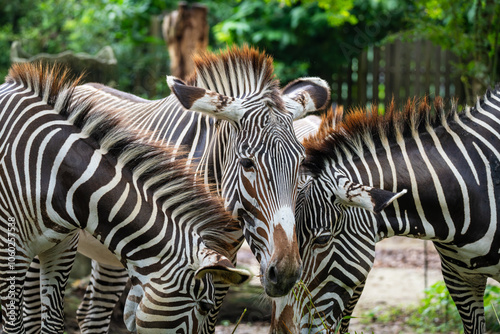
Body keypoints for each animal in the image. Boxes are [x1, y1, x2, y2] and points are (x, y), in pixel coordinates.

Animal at [0, 62, 250, 334]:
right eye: (204, 306)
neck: (58, 176)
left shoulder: (63, 248)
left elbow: (54, 323)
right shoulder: (9, 251)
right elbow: (13, 325)